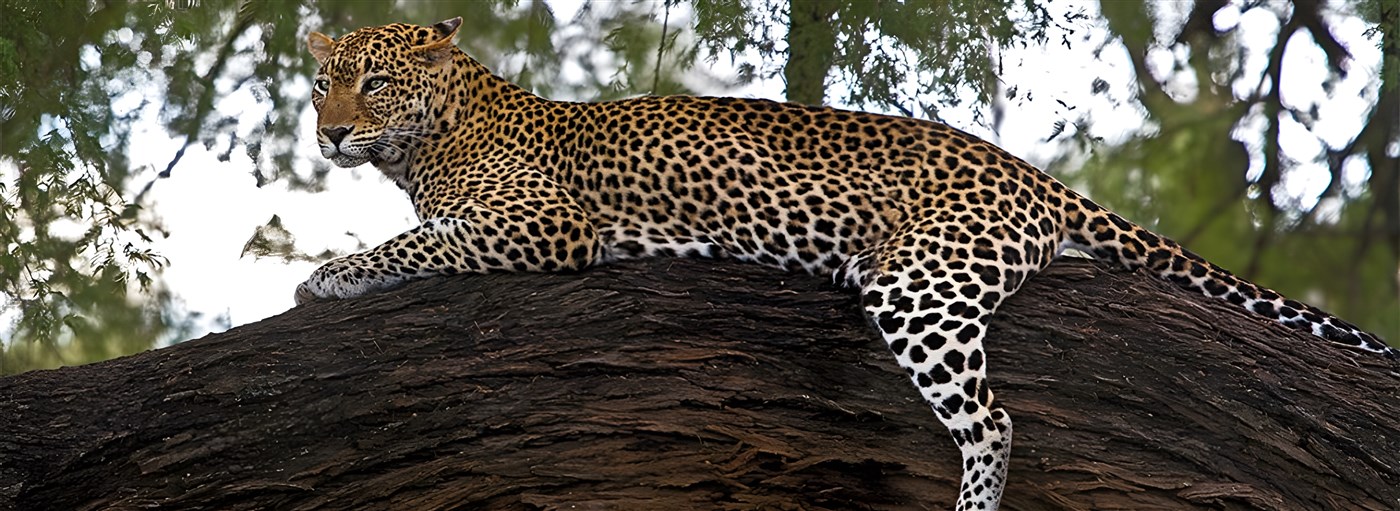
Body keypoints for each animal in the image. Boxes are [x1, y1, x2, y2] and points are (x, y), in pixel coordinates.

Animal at [297, 17, 1397, 511]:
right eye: (321, 82)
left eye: (374, 82)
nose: (330, 133)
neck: (426, 140)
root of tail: (1027, 172)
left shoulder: (542, 222)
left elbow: (420, 240)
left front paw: (327, 276)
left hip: (920, 283)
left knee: (993, 419)